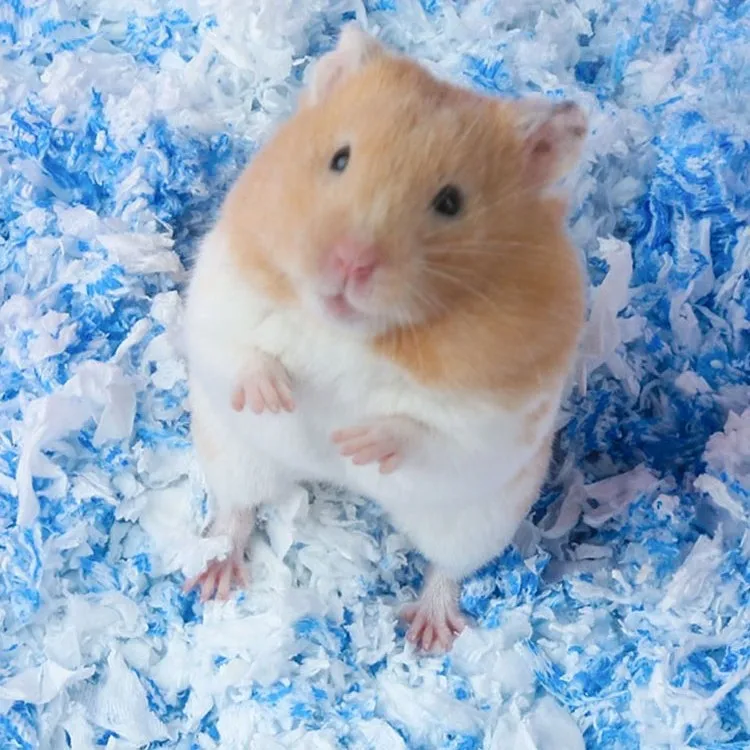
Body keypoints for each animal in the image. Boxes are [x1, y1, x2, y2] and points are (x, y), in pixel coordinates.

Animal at [183, 25, 586, 652]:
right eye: (339, 158)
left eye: (451, 201)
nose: (350, 262)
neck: (348, 332)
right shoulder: (221, 296)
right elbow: (241, 351)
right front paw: (278, 396)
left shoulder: (491, 413)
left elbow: (424, 428)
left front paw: (356, 443)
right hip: (234, 453)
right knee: (235, 513)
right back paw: (214, 578)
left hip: (477, 519)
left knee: (448, 569)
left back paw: (430, 633)